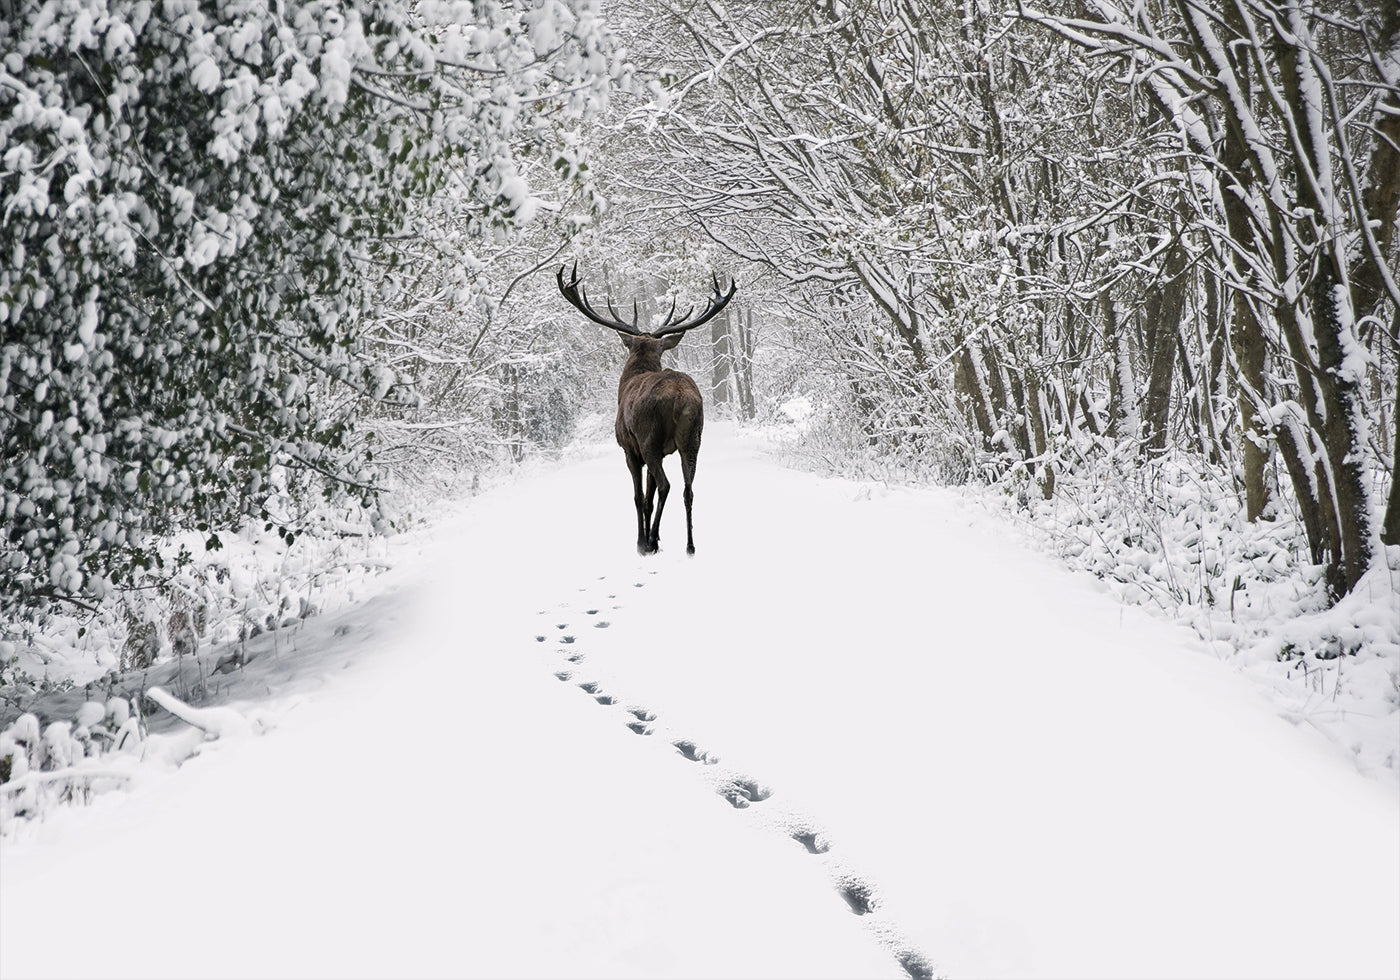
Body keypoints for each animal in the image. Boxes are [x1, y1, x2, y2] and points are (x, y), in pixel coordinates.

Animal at [557, 264, 739, 554]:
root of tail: (680, 397)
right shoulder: (664, 451)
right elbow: (649, 498)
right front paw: (656, 537)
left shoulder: (629, 448)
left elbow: (639, 496)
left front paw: (641, 541)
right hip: (693, 438)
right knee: (688, 488)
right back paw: (689, 545)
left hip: (648, 438)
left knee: (666, 485)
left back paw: (651, 540)